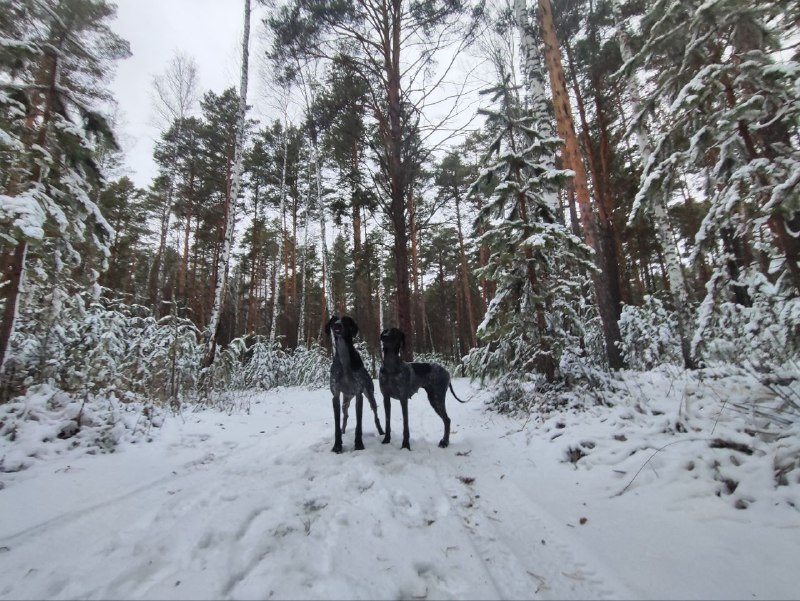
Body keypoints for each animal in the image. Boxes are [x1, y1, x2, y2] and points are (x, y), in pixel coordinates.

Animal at [328, 316, 384, 452]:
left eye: (345, 321)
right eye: (333, 320)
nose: (337, 325)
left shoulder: (359, 395)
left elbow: (359, 424)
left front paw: (358, 444)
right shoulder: (335, 396)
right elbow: (337, 424)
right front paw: (337, 446)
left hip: (370, 396)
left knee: (376, 415)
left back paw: (381, 432)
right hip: (345, 401)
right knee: (345, 416)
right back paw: (343, 431)